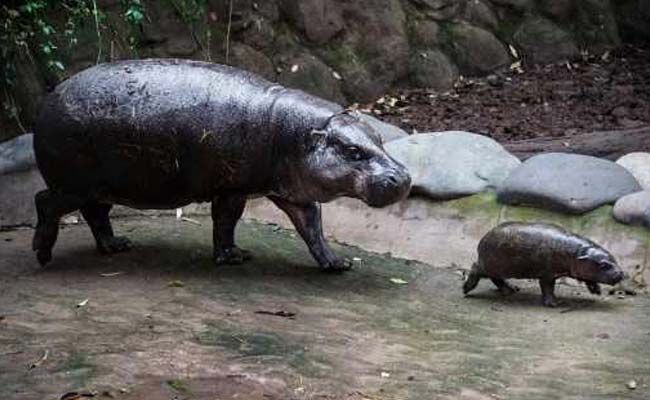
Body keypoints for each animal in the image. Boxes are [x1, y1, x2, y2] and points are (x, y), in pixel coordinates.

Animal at [31, 59, 410, 270]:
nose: (403, 177)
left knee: (96, 214)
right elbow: (226, 221)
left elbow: (312, 228)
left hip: (100, 187)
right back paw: (42, 255)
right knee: (45, 201)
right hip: (73, 184)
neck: (295, 132)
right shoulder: (232, 188)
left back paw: (116, 246)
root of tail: (48, 98)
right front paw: (233, 257)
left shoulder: (293, 191)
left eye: (377, 137)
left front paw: (337, 264)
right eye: (352, 150)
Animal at [460, 222, 624, 306]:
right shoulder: (547, 274)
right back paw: (466, 290)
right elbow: (548, 288)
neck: (577, 252)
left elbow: (588, 278)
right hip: (490, 264)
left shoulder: (580, 267)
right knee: (475, 268)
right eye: (604, 265)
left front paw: (597, 291)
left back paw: (512, 289)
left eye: (614, 259)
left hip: (499, 267)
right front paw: (554, 304)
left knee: (497, 279)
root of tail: (484, 237)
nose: (621, 273)